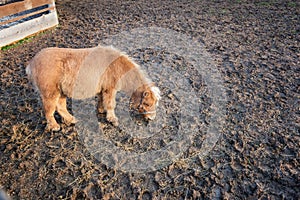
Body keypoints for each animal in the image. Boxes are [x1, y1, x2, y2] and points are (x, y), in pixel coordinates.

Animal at [27, 46, 161, 132]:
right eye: (147, 104)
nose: (152, 118)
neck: (117, 66)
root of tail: (31, 63)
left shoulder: (103, 89)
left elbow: (102, 100)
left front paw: (101, 111)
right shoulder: (110, 89)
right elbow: (111, 104)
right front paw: (112, 120)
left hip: (61, 92)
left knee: (60, 107)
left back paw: (71, 120)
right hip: (50, 93)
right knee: (49, 110)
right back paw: (55, 126)